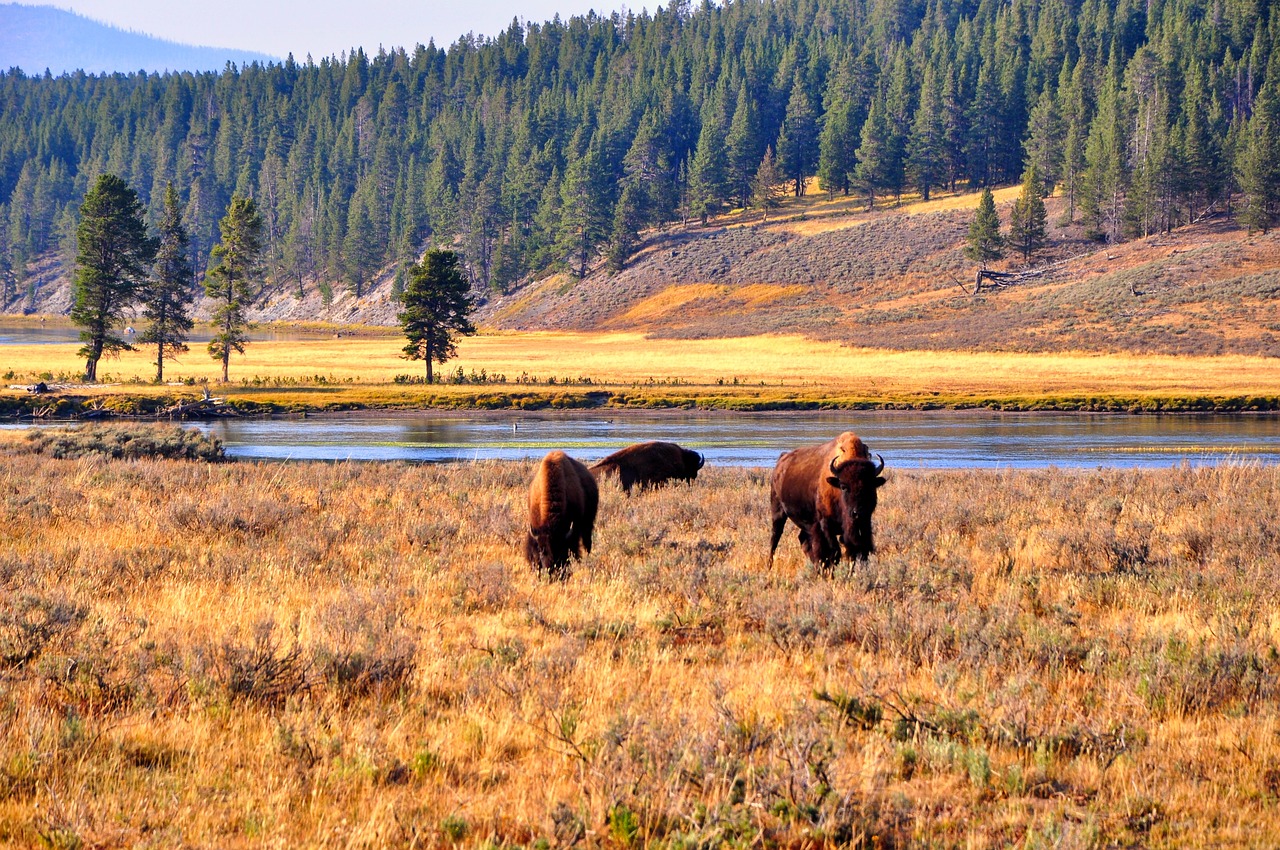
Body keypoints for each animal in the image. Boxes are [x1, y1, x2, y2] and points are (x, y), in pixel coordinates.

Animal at [762, 432, 885, 570]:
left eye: (871, 486)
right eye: (843, 486)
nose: (858, 512)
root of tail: (782, 460)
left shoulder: (864, 525)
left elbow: (859, 551)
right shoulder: (825, 524)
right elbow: (833, 552)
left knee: (803, 539)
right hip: (778, 511)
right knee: (775, 538)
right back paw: (769, 566)